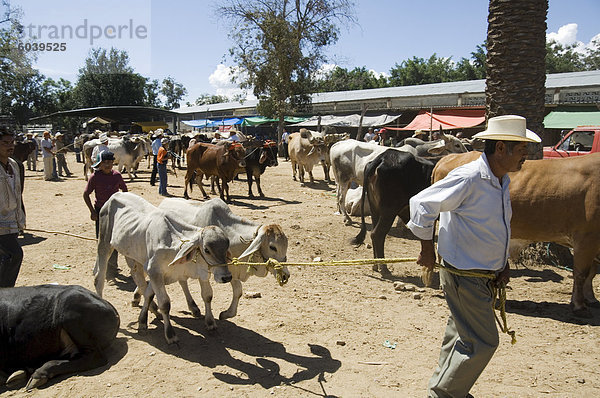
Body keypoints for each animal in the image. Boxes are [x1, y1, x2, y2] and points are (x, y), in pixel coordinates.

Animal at [432, 152, 600, 318]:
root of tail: (449, 157)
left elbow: (592, 272)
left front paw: (591, 298)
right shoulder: (586, 238)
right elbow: (581, 274)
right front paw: (579, 305)